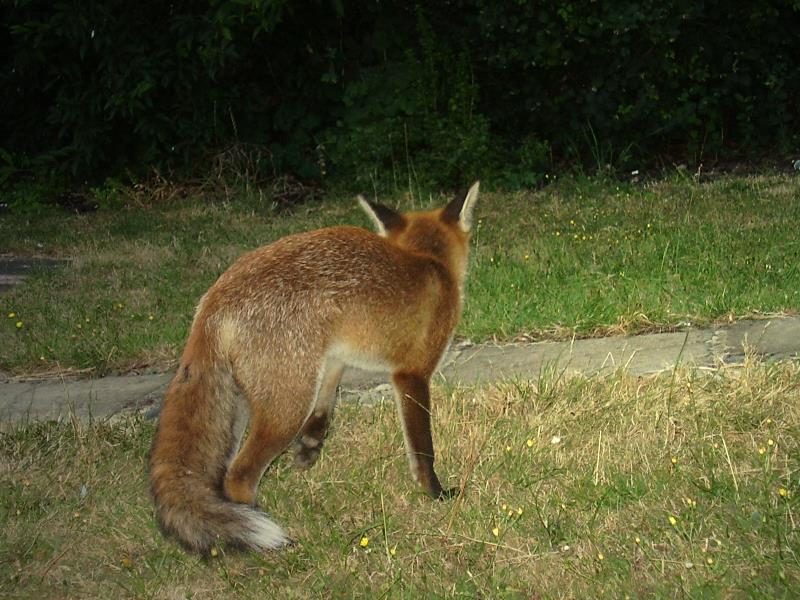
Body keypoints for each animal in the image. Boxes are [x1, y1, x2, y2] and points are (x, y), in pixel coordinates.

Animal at [147, 182, 478, 552]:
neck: (430, 262)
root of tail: (214, 297)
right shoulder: (412, 373)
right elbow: (423, 449)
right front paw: (435, 492)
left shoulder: (333, 354)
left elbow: (327, 400)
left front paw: (311, 444)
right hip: (286, 408)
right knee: (239, 476)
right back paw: (269, 537)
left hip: (247, 406)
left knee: (222, 475)